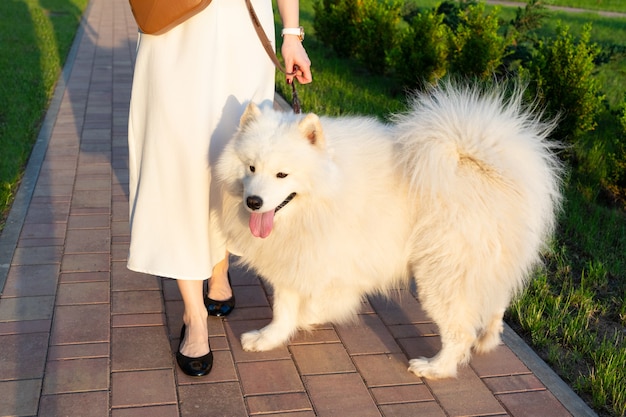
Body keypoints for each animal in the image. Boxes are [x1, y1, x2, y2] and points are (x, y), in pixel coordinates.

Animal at [214, 81, 560, 376]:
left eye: (282, 175)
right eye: (251, 167)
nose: (253, 202)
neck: (327, 192)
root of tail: (489, 169)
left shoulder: (326, 261)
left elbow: (314, 303)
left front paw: (310, 317)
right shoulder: (294, 258)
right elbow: (283, 308)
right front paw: (270, 337)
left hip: (441, 277)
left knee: (459, 331)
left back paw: (434, 368)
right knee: (495, 303)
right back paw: (488, 338)